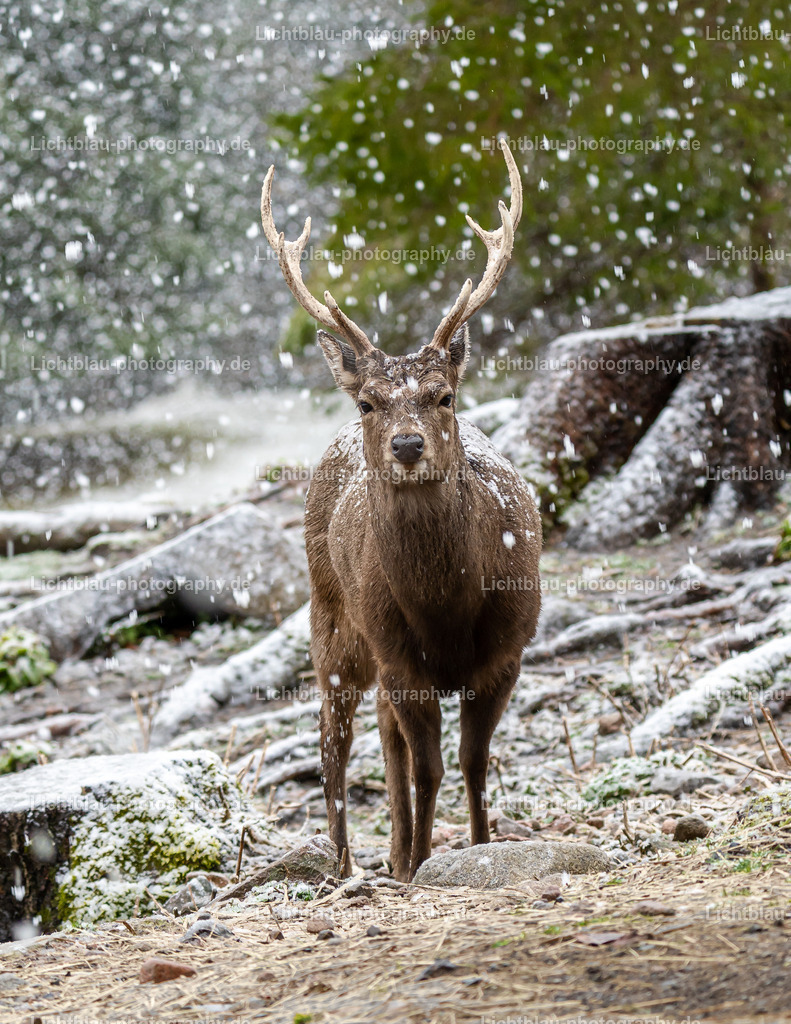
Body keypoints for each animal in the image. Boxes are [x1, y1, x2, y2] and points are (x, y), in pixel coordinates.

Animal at [260, 140, 541, 881]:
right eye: (370, 402)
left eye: (443, 394)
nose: (408, 445)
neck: (446, 604)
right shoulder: (399, 655)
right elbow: (430, 766)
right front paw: (420, 864)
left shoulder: (509, 650)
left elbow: (471, 763)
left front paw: (472, 847)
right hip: (331, 618)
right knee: (332, 738)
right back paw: (344, 863)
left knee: (385, 738)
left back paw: (390, 852)